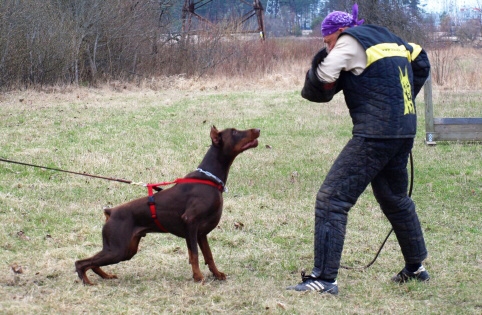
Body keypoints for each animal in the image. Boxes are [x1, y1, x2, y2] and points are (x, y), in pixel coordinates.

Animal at [75, 126, 260, 286]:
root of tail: (110, 212)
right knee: (80, 262)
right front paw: (198, 277)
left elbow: (209, 255)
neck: (209, 178)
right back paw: (87, 282)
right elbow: (194, 254)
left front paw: (217, 274)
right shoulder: (190, 222)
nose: (258, 129)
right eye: (235, 132)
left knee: (92, 262)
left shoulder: (201, 233)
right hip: (117, 249)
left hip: (125, 250)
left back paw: (106, 276)